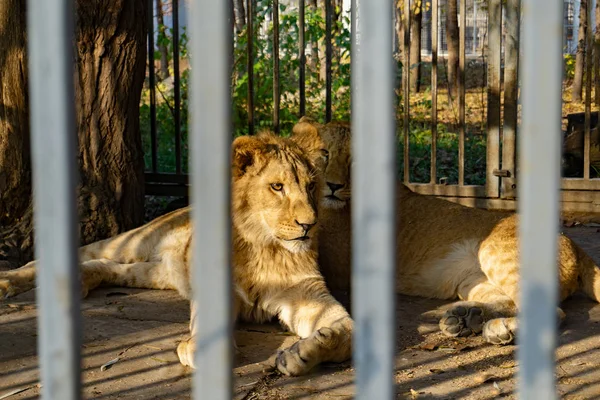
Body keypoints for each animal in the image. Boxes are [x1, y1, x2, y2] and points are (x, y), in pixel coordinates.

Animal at [0, 132, 354, 378]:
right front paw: (199, 349)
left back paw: (80, 281)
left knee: (106, 266)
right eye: (277, 187)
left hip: (155, 272)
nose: (309, 224)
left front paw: (300, 355)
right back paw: (9, 281)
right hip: (133, 241)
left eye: (310, 186)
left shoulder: (307, 294)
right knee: (70, 254)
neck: (265, 247)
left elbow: (347, 332)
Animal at [292, 116, 600, 346]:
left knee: (551, 311)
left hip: (494, 251)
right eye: (325, 154)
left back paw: (499, 328)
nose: (333, 186)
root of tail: (576, 246)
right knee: (510, 299)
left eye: (354, 162)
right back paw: (467, 318)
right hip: (472, 280)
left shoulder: (339, 263)